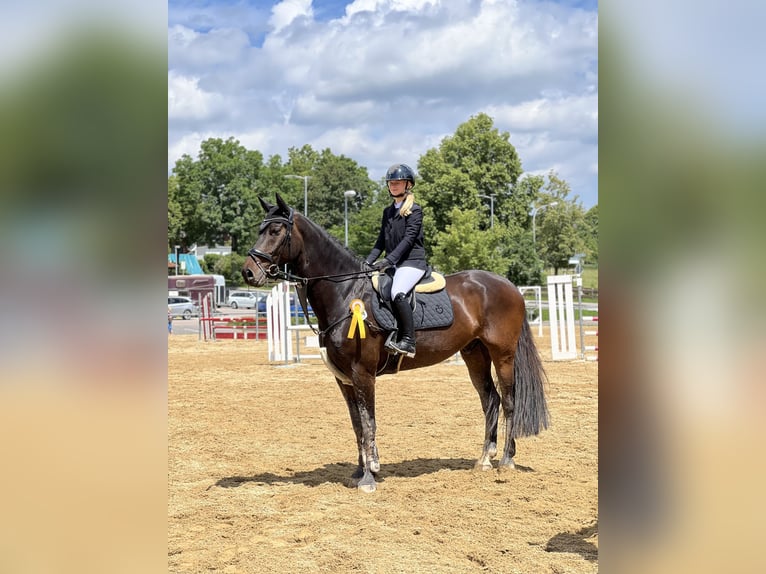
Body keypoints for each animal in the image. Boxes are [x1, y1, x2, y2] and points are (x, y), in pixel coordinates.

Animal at [243, 196, 548, 492]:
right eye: (260, 229)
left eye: (275, 231)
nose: (248, 272)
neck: (345, 292)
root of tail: (507, 284)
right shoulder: (344, 378)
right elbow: (356, 424)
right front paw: (359, 471)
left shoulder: (362, 373)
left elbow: (368, 422)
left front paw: (369, 477)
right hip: (475, 354)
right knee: (490, 400)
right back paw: (484, 459)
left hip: (503, 354)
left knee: (508, 400)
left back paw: (506, 460)